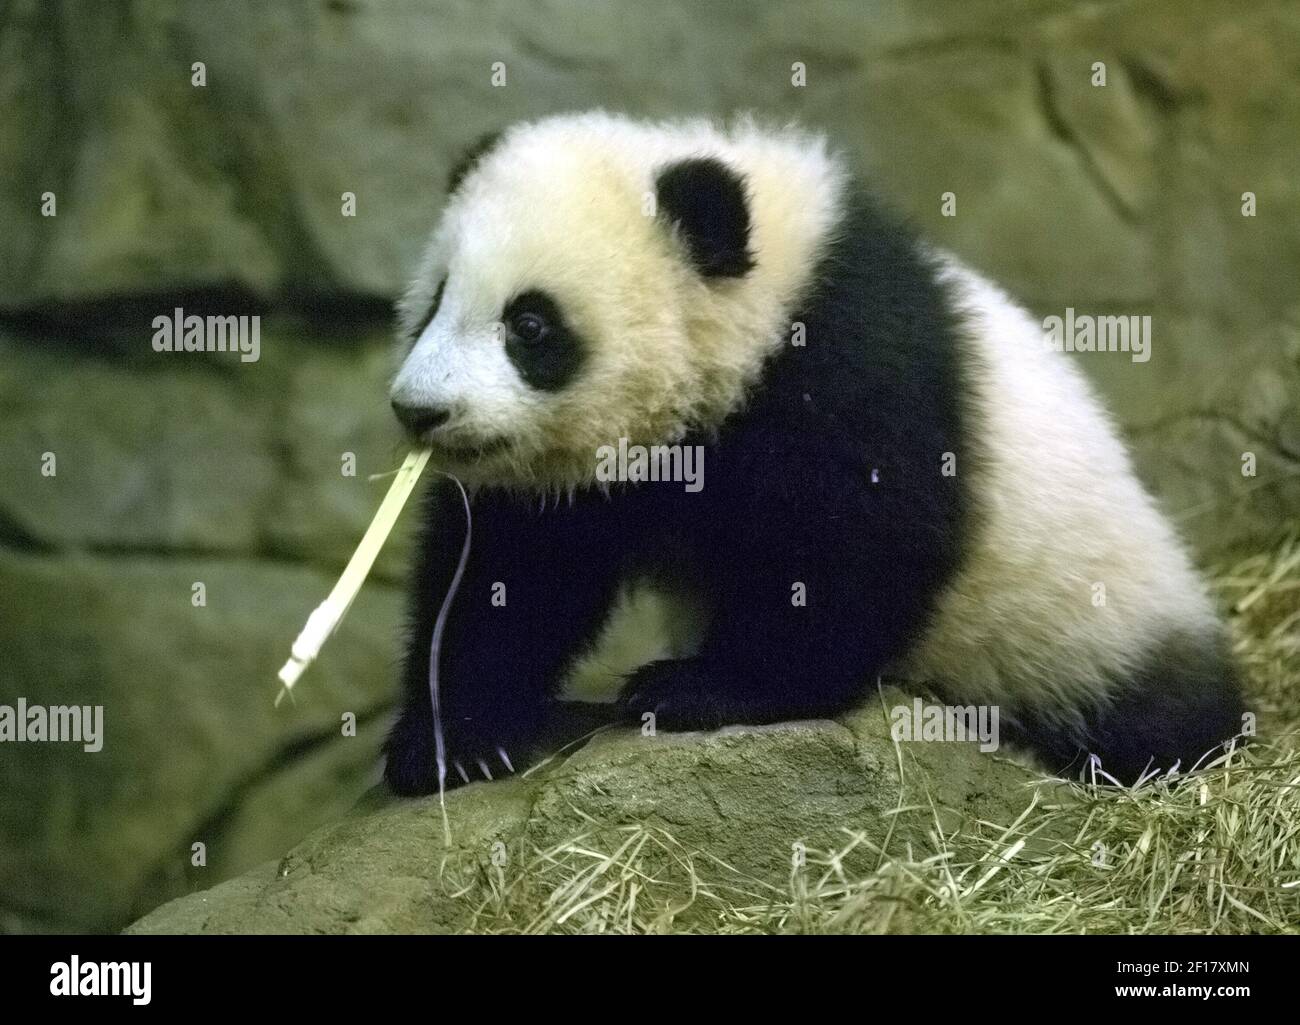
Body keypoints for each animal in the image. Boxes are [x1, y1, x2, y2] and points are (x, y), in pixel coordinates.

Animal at [382, 111, 1244, 795]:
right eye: (435, 301)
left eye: (529, 325)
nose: (420, 411)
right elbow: (516, 571)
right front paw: (450, 742)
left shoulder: (845, 365)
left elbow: (846, 549)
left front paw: (699, 688)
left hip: (1088, 619)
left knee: (1150, 716)